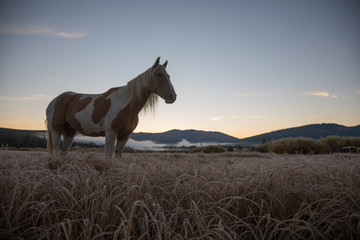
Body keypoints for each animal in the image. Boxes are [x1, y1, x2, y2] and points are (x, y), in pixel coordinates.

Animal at [45, 56, 178, 158]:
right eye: (158, 74)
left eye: (168, 76)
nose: (173, 96)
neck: (126, 104)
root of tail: (53, 101)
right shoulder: (111, 133)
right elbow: (108, 157)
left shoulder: (124, 136)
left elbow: (118, 157)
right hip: (56, 132)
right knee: (56, 152)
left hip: (69, 133)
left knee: (63, 153)